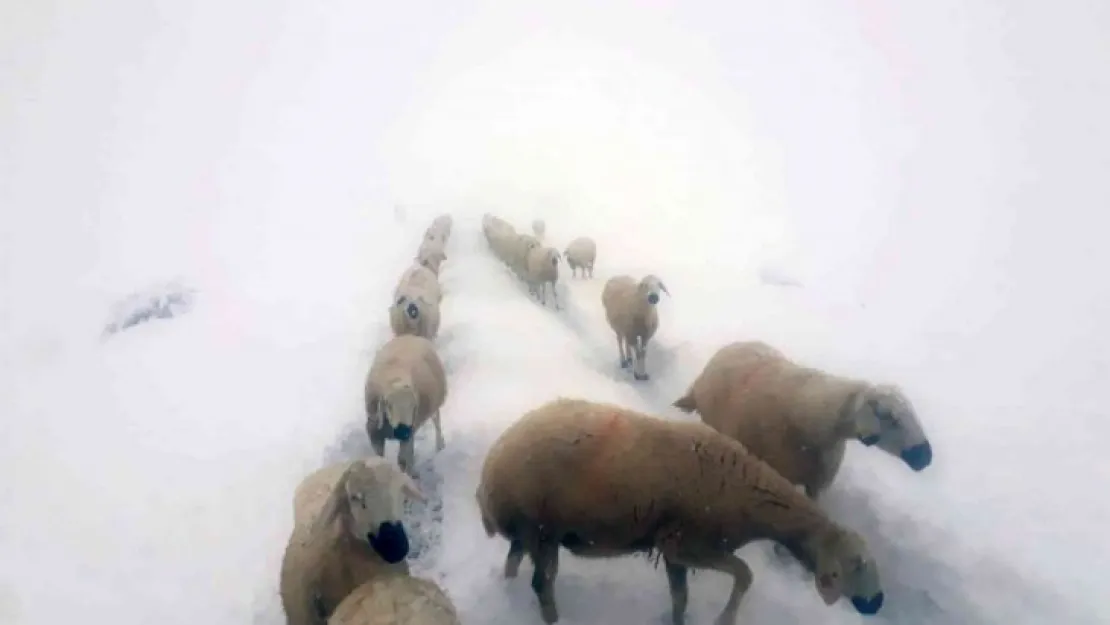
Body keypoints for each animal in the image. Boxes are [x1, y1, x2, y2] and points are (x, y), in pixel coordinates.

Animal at [366, 335, 448, 477]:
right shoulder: (375, 433)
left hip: (434, 404)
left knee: (437, 420)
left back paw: (439, 445)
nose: (402, 430)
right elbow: (380, 458)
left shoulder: (409, 432)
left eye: (413, 405)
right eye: (388, 404)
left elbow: (403, 460)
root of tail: (411, 336)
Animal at [477, 399, 883, 621]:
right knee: (541, 584)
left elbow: (681, 597)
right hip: (542, 529)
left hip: (530, 530)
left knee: (514, 564)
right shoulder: (691, 544)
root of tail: (488, 479)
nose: (877, 603)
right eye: (857, 563)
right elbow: (746, 574)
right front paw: (724, 619)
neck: (754, 503)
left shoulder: (673, 548)